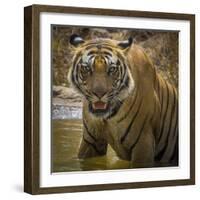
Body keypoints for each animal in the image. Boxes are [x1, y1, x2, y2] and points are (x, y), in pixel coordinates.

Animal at [68, 33, 178, 166]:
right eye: (86, 69)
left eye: (111, 69)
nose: (99, 93)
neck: (108, 117)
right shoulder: (90, 141)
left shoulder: (143, 142)